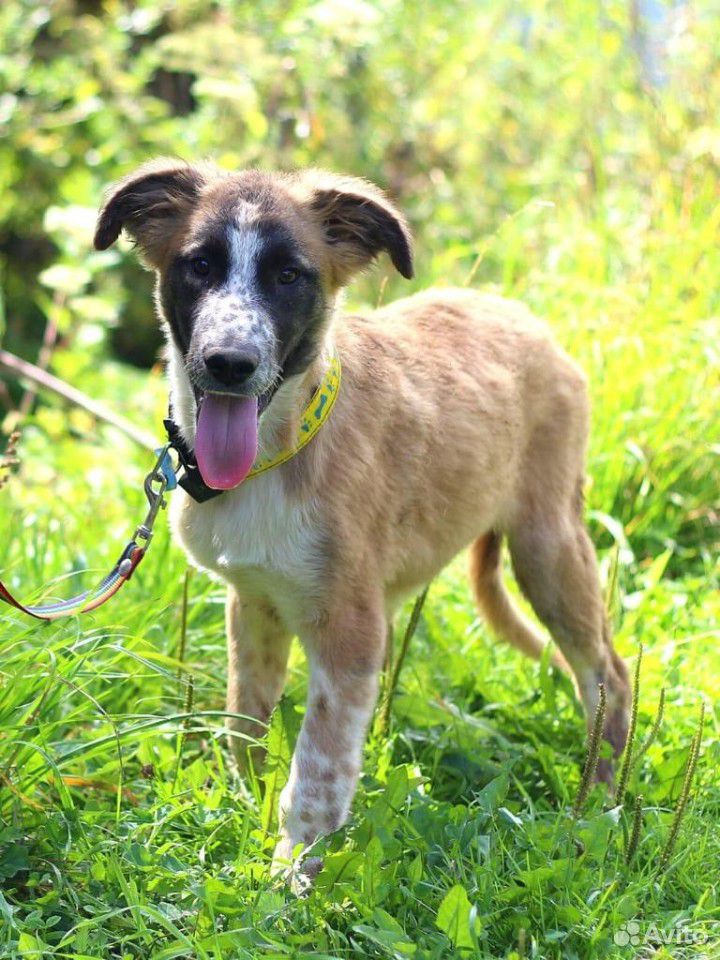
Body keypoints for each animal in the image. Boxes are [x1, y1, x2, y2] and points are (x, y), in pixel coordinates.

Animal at [94, 163, 632, 876]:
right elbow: (246, 726)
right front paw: (251, 812)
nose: (229, 364)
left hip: (547, 545)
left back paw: (599, 804)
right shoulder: (254, 602)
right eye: (200, 266)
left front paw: (290, 873)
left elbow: (318, 767)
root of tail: (520, 316)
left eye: (289, 276)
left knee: (608, 675)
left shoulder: (349, 632)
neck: (280, 450)